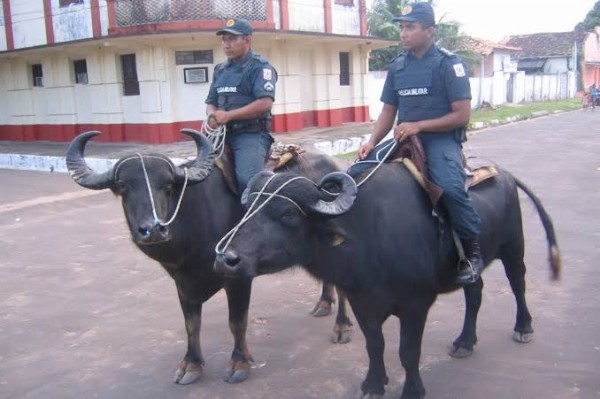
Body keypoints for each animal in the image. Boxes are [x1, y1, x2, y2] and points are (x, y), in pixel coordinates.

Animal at [67, 131, 352, 388]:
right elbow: (191, 324)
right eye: (124, 186)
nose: (153, 229)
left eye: (168, 186)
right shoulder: (182, 281)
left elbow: (236, 322)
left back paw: (342, 327)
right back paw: (323, 303)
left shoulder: (238, 277)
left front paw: (239, 363)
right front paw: (191, 364)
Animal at [213, 162, 560, 399]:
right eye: (249, 208)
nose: (226, 258)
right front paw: (373, 383)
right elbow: (374, 344)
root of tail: (505, 175)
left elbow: (408, 351)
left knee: (518, 283)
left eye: (288, 214)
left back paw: (523, 327)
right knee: (475, 293)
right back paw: (464, 342)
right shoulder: (362, 302)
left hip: (513, 246)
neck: (368, 235)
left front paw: (413, 390)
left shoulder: (416, 305)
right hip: (471, 267)